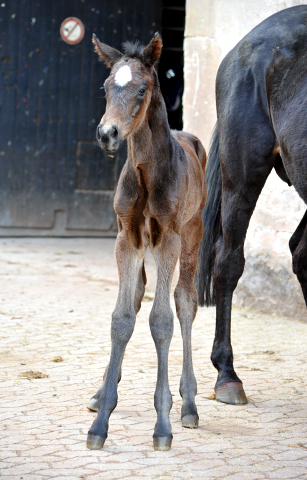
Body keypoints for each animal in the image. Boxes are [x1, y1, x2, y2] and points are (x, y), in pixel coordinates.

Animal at [86, 32, 207, 450]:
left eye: (142, 89)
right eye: (107, 86)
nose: (107, 134)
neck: (145, 173)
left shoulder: (168, 239)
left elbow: (163, 320)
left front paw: (163, 423)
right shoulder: (127, 238)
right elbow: (122, 318)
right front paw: (101, 420)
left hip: (193, 234)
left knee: (185, 303)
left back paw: (189, 403)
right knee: (138, 295)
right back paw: (100, 391)